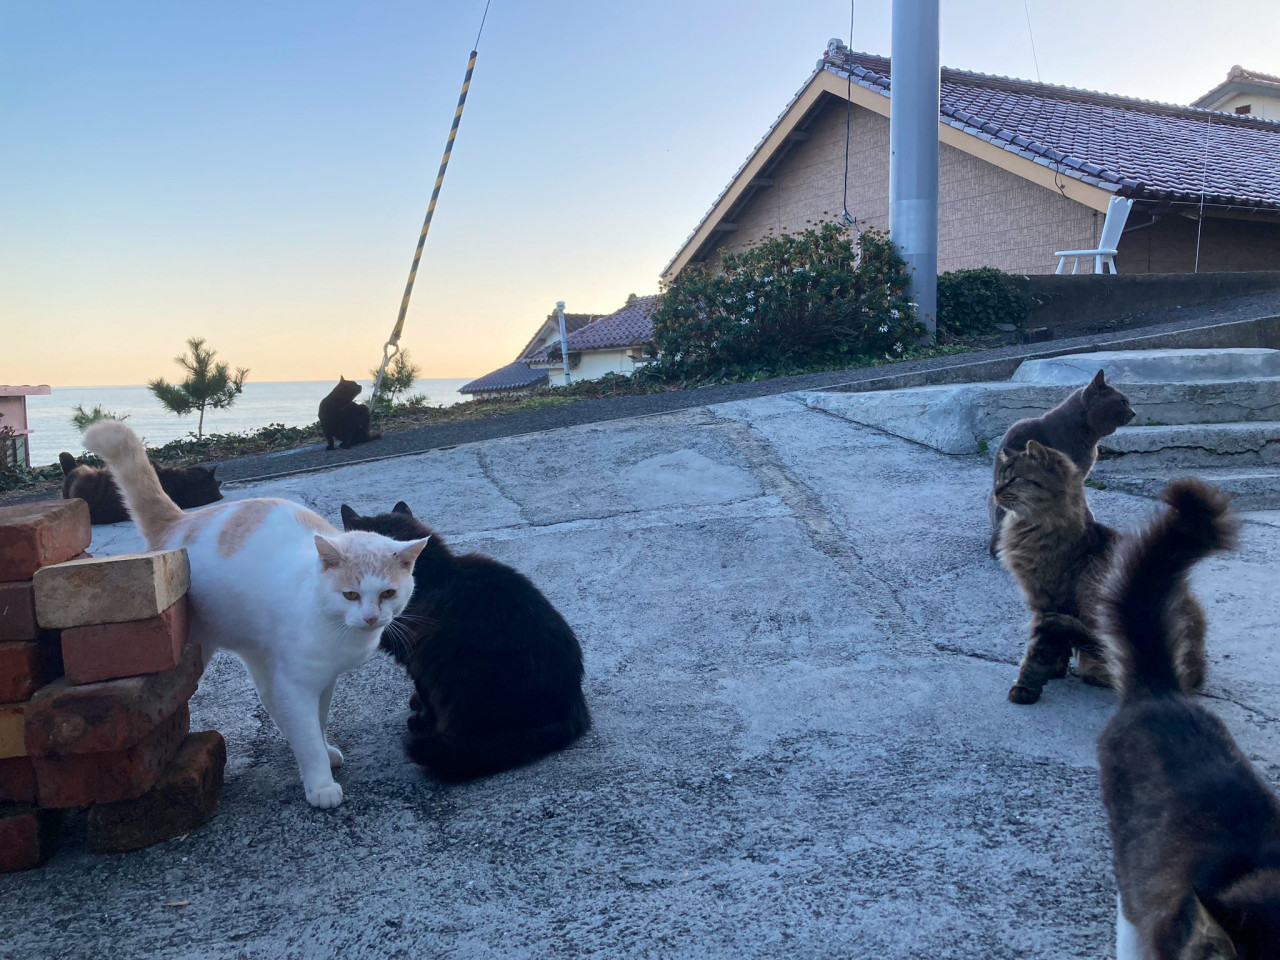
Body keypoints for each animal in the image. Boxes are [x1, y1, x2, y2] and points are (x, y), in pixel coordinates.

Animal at [83, 424, 430, 808]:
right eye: (350, 595)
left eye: (388, 594)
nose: (370, 618)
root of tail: (180, 520)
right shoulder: (297, 683)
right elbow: (307, 733)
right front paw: (320, 782)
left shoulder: (324, 680)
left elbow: (317, 722)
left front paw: (322, 751)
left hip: (259, 651)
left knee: (270, 699)